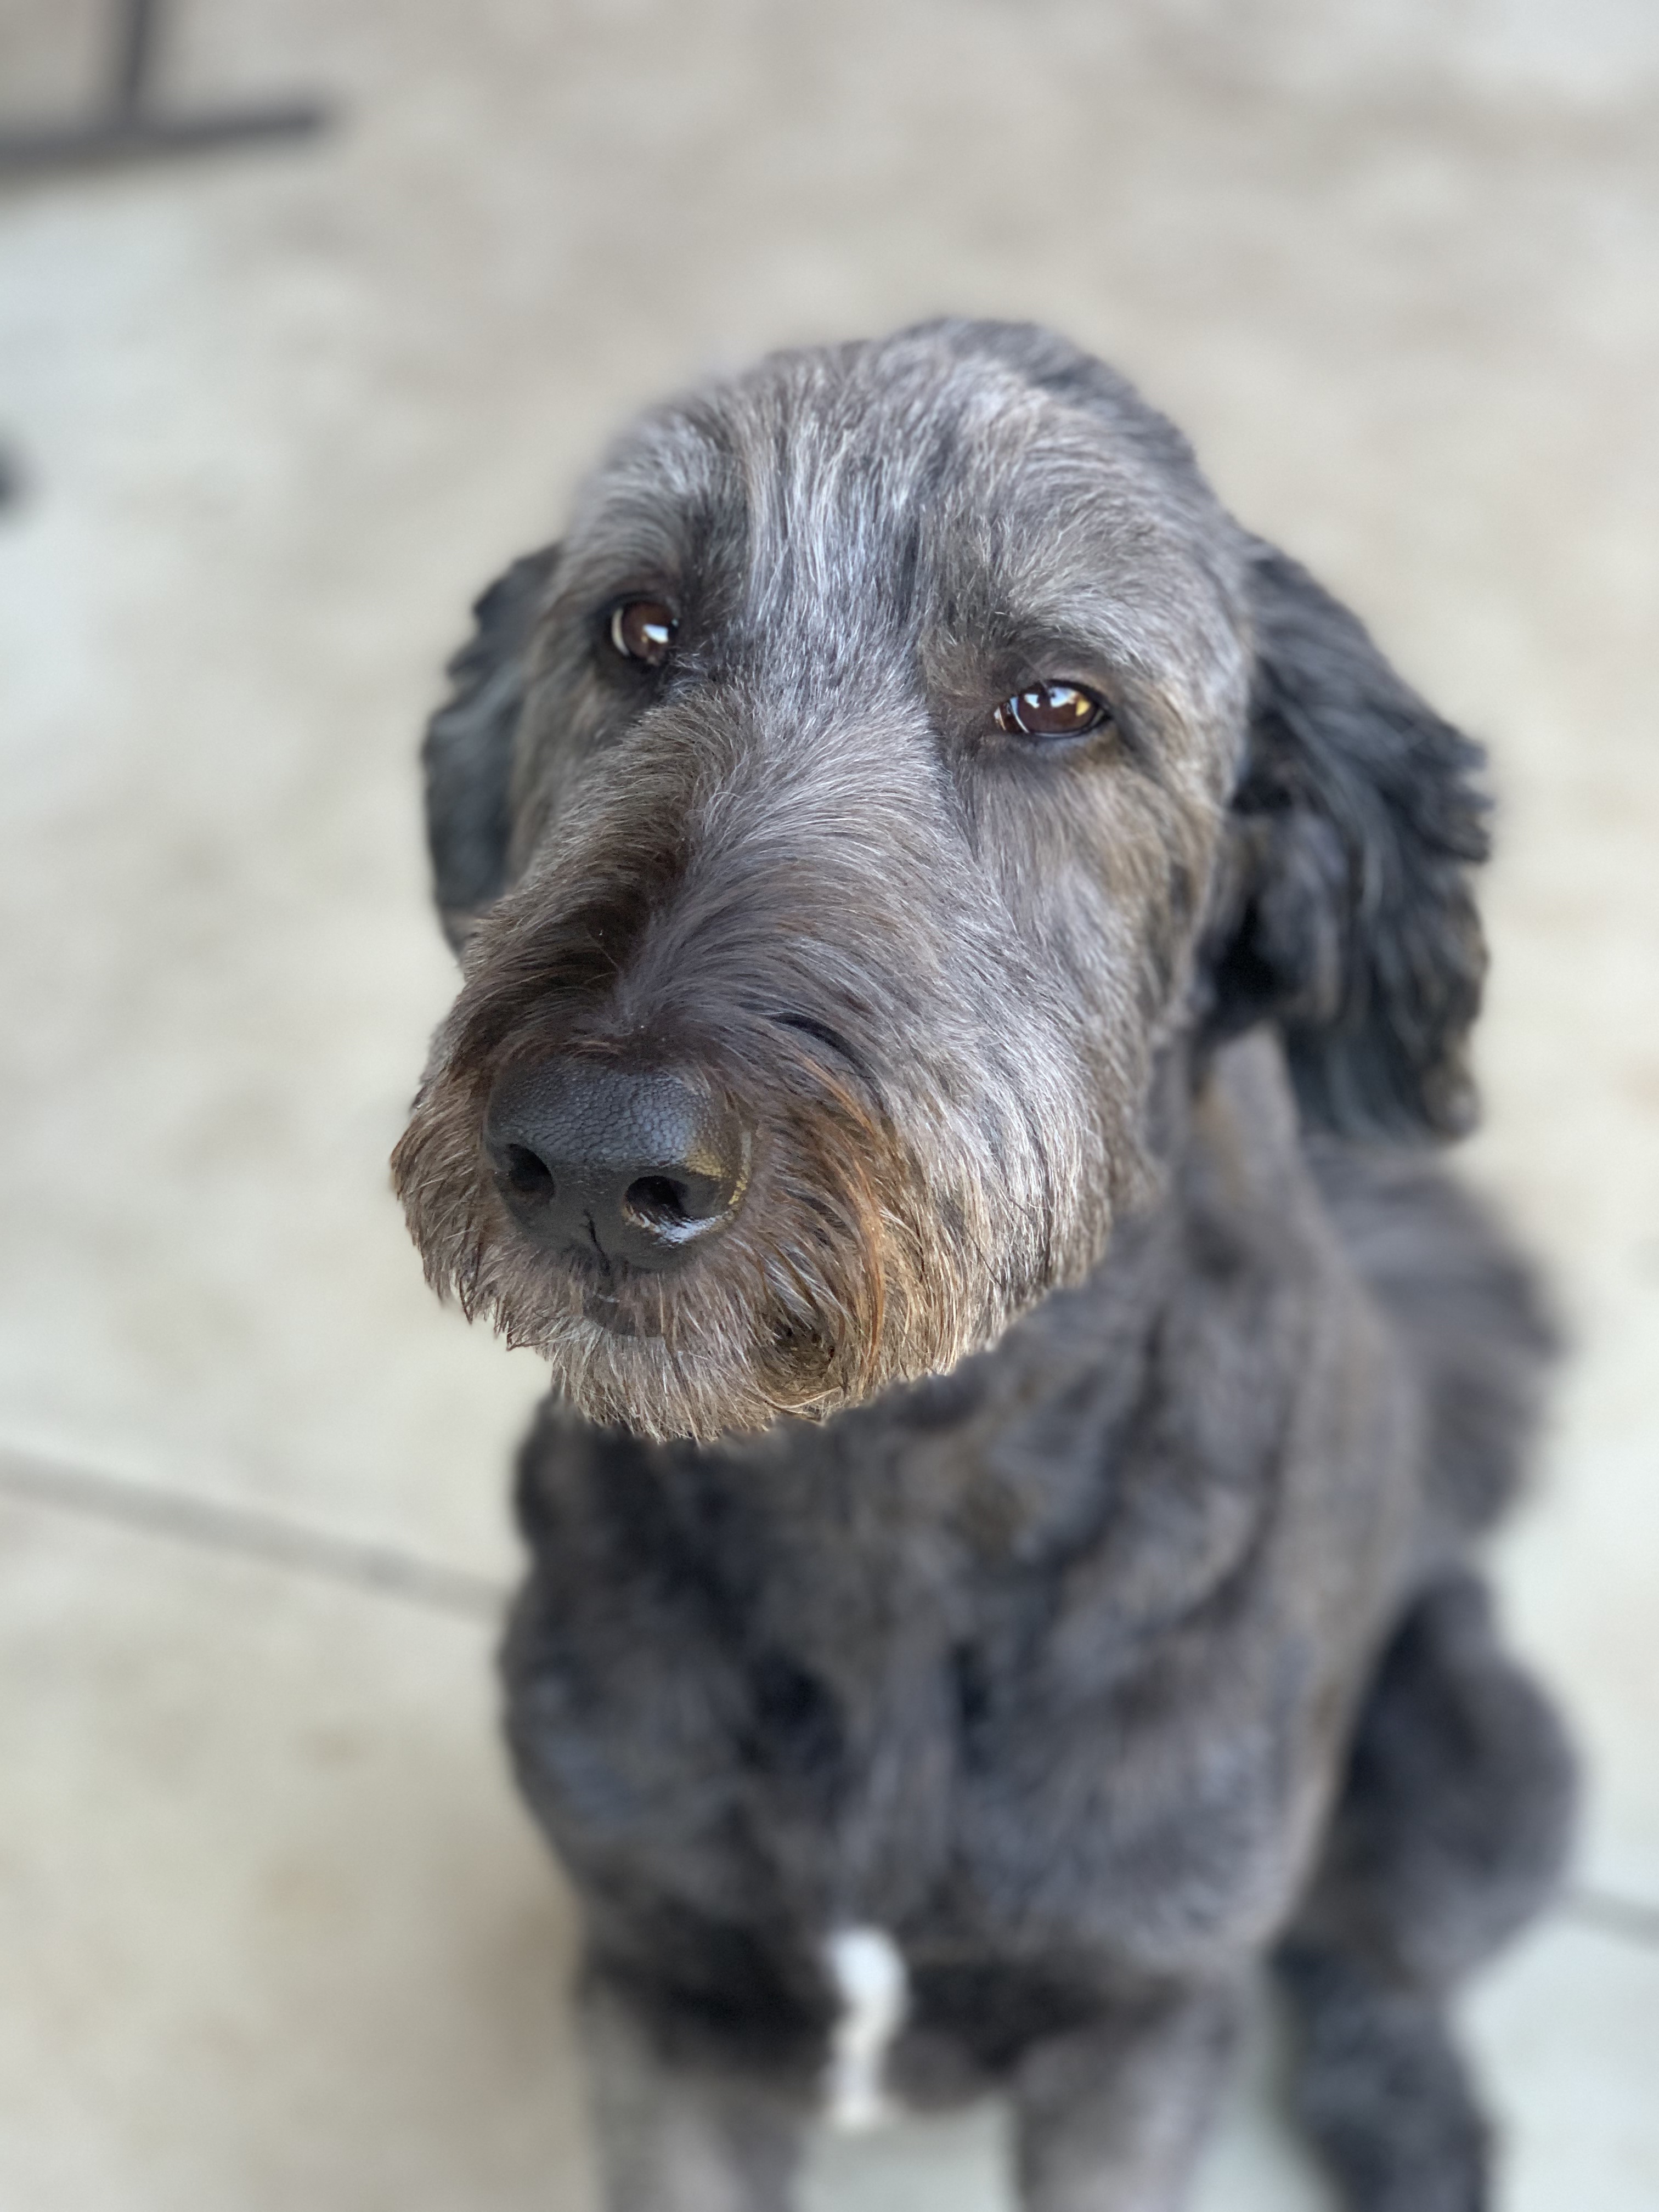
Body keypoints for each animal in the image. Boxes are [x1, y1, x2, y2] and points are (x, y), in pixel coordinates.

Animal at [393, 321, 1576, 2212]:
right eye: (639, 627)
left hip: (1481, 1770)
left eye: (1059, 704)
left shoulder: (1139, 2031)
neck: (889, 1479)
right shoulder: (654, 1993)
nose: (588, 1148)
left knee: (1371, 1955)